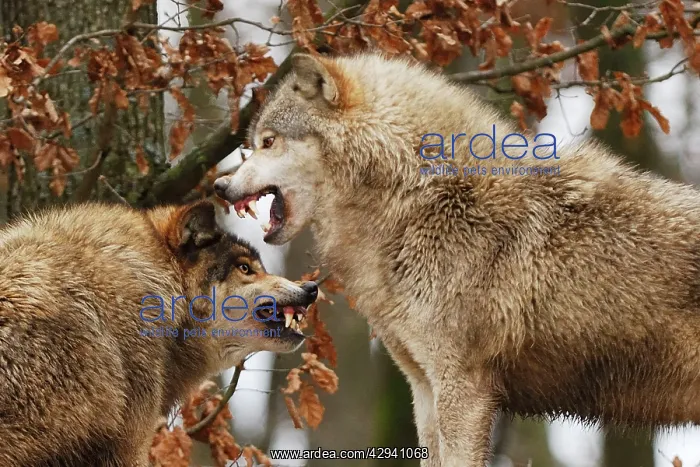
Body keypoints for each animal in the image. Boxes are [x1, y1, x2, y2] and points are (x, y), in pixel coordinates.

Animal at [214, 52, 700, 466]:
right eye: (253, 143)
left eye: (268, 142)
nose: (218, 186)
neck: (419, 197)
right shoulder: (424, 387)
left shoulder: (463, 385)